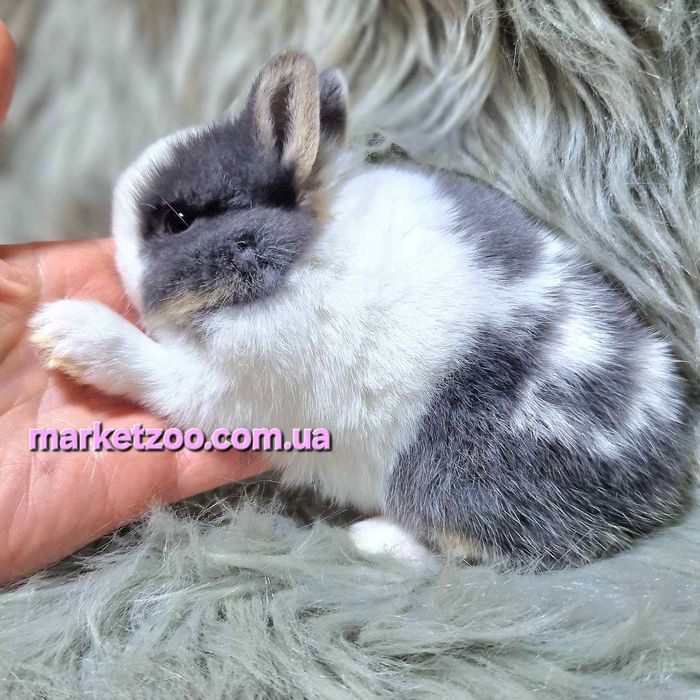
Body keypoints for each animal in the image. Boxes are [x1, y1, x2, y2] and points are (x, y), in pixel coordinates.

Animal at [30, 51, 693, 571]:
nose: (114, 250)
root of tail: (662, 475)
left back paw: (375, 539)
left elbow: (150, 369)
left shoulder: (228, 386)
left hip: (448, 473)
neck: (298, 258)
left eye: (178, 219)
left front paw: (65, 333)